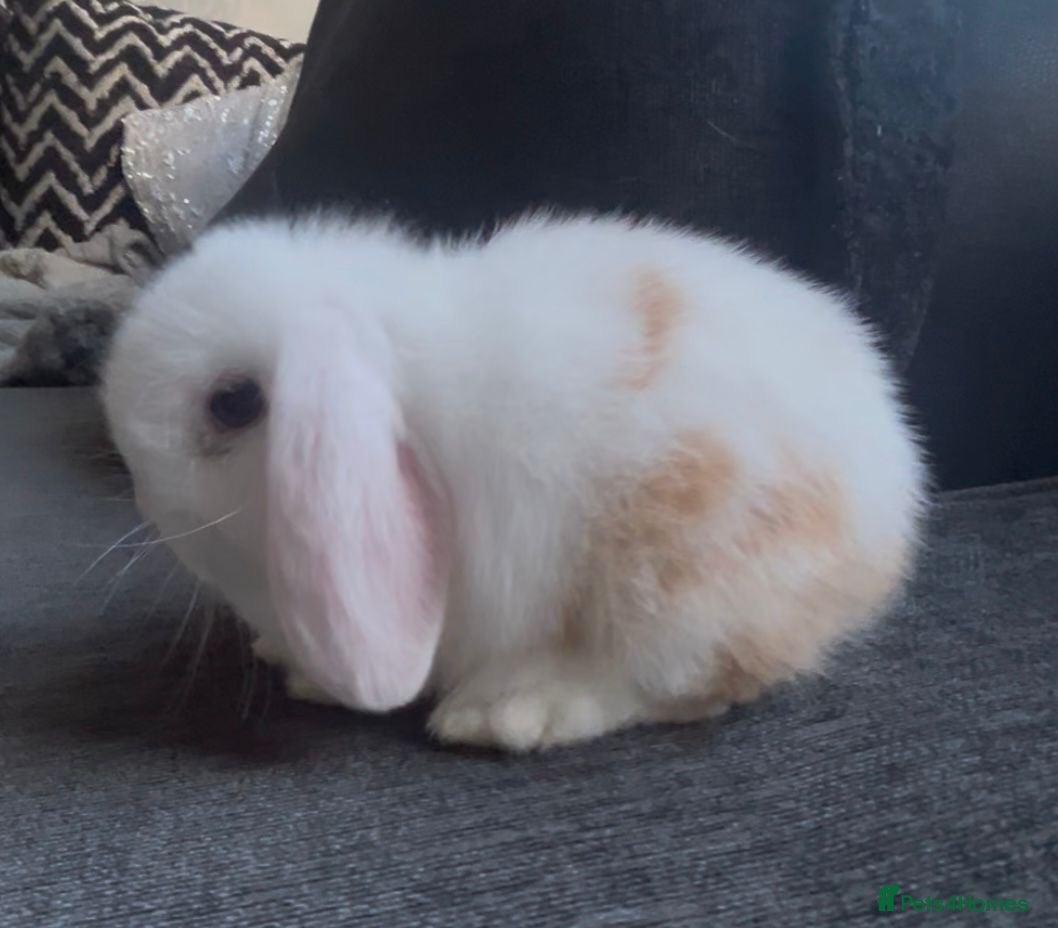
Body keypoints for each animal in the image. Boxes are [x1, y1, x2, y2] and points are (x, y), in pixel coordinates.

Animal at [101, 212, 925, 752]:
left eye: (233, 402)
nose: (142, 489)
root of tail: (893, 493)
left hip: (683, 574)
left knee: (674, 681)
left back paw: (511, 710)